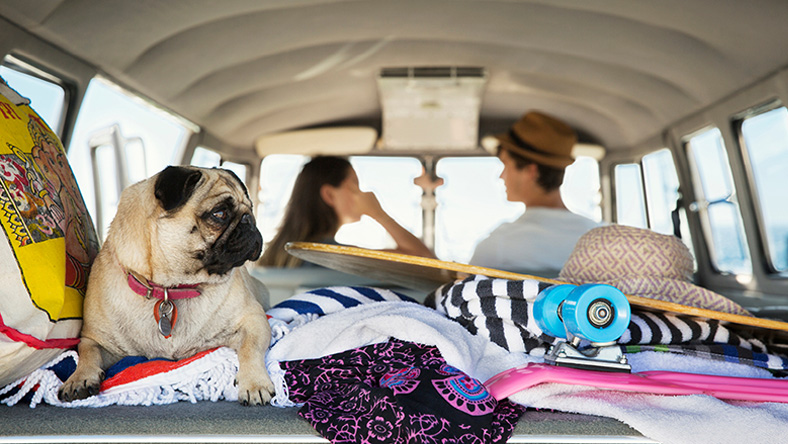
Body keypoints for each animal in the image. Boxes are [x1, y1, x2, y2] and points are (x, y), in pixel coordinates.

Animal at [58, 166, 274, 406]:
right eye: (220, 214)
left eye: (251, 209)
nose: (249, 220)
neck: (173, 288)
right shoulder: (97, 339)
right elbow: (87, 353)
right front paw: (79, 378)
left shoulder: (254, 320)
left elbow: (250, 348)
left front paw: (254, 383)